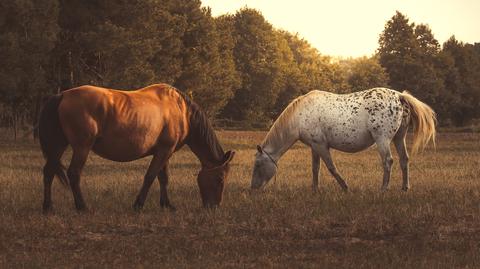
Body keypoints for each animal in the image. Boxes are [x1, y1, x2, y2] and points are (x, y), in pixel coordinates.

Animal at [39, 82, 236, 210]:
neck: (183, 112)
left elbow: (163, 178)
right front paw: (138, 204)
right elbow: (150, 176)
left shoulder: (164, 151)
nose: (214, 207)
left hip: (59, 146)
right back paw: (82, 206)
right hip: (82, 147)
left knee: (48, 171)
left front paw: (166, 204)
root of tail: (62, 95)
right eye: (220, 178)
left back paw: (48, 206)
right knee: (74, 173)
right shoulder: (164, 151)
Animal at [251, 87, 436, 191]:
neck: (300, 116)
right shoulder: (314, 146)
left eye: (258, 164)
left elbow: (331, 168)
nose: (253, 189)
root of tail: (399, 96)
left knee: (388, 161)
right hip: (399, 137)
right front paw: (315, 190)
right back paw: (404, 188)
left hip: (382, 139)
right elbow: (315, 168)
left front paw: (345, 187)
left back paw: (383, 189)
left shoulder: (321, 146)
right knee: (404, 159)